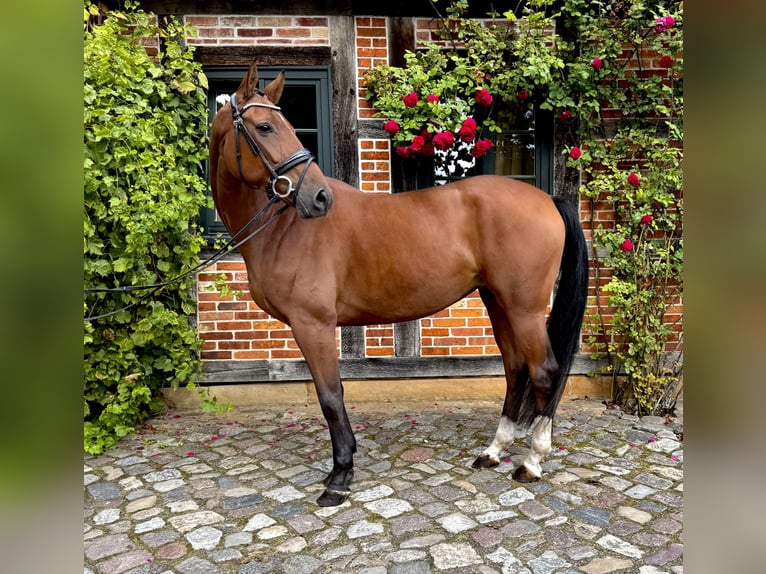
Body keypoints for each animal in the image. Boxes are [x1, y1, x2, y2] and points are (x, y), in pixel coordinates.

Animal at [209, 64, 589, 507]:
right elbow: (334, 394)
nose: (319, 198)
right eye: (266, 126)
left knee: (544, 372)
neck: (283, 228)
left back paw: (532, 462)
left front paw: (340, 476)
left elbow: (330, 397)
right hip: (497, 302)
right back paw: (493, 451)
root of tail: (548, 200)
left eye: (284, 125)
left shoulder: (313, 325)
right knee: (515, 369)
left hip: (524, 308)